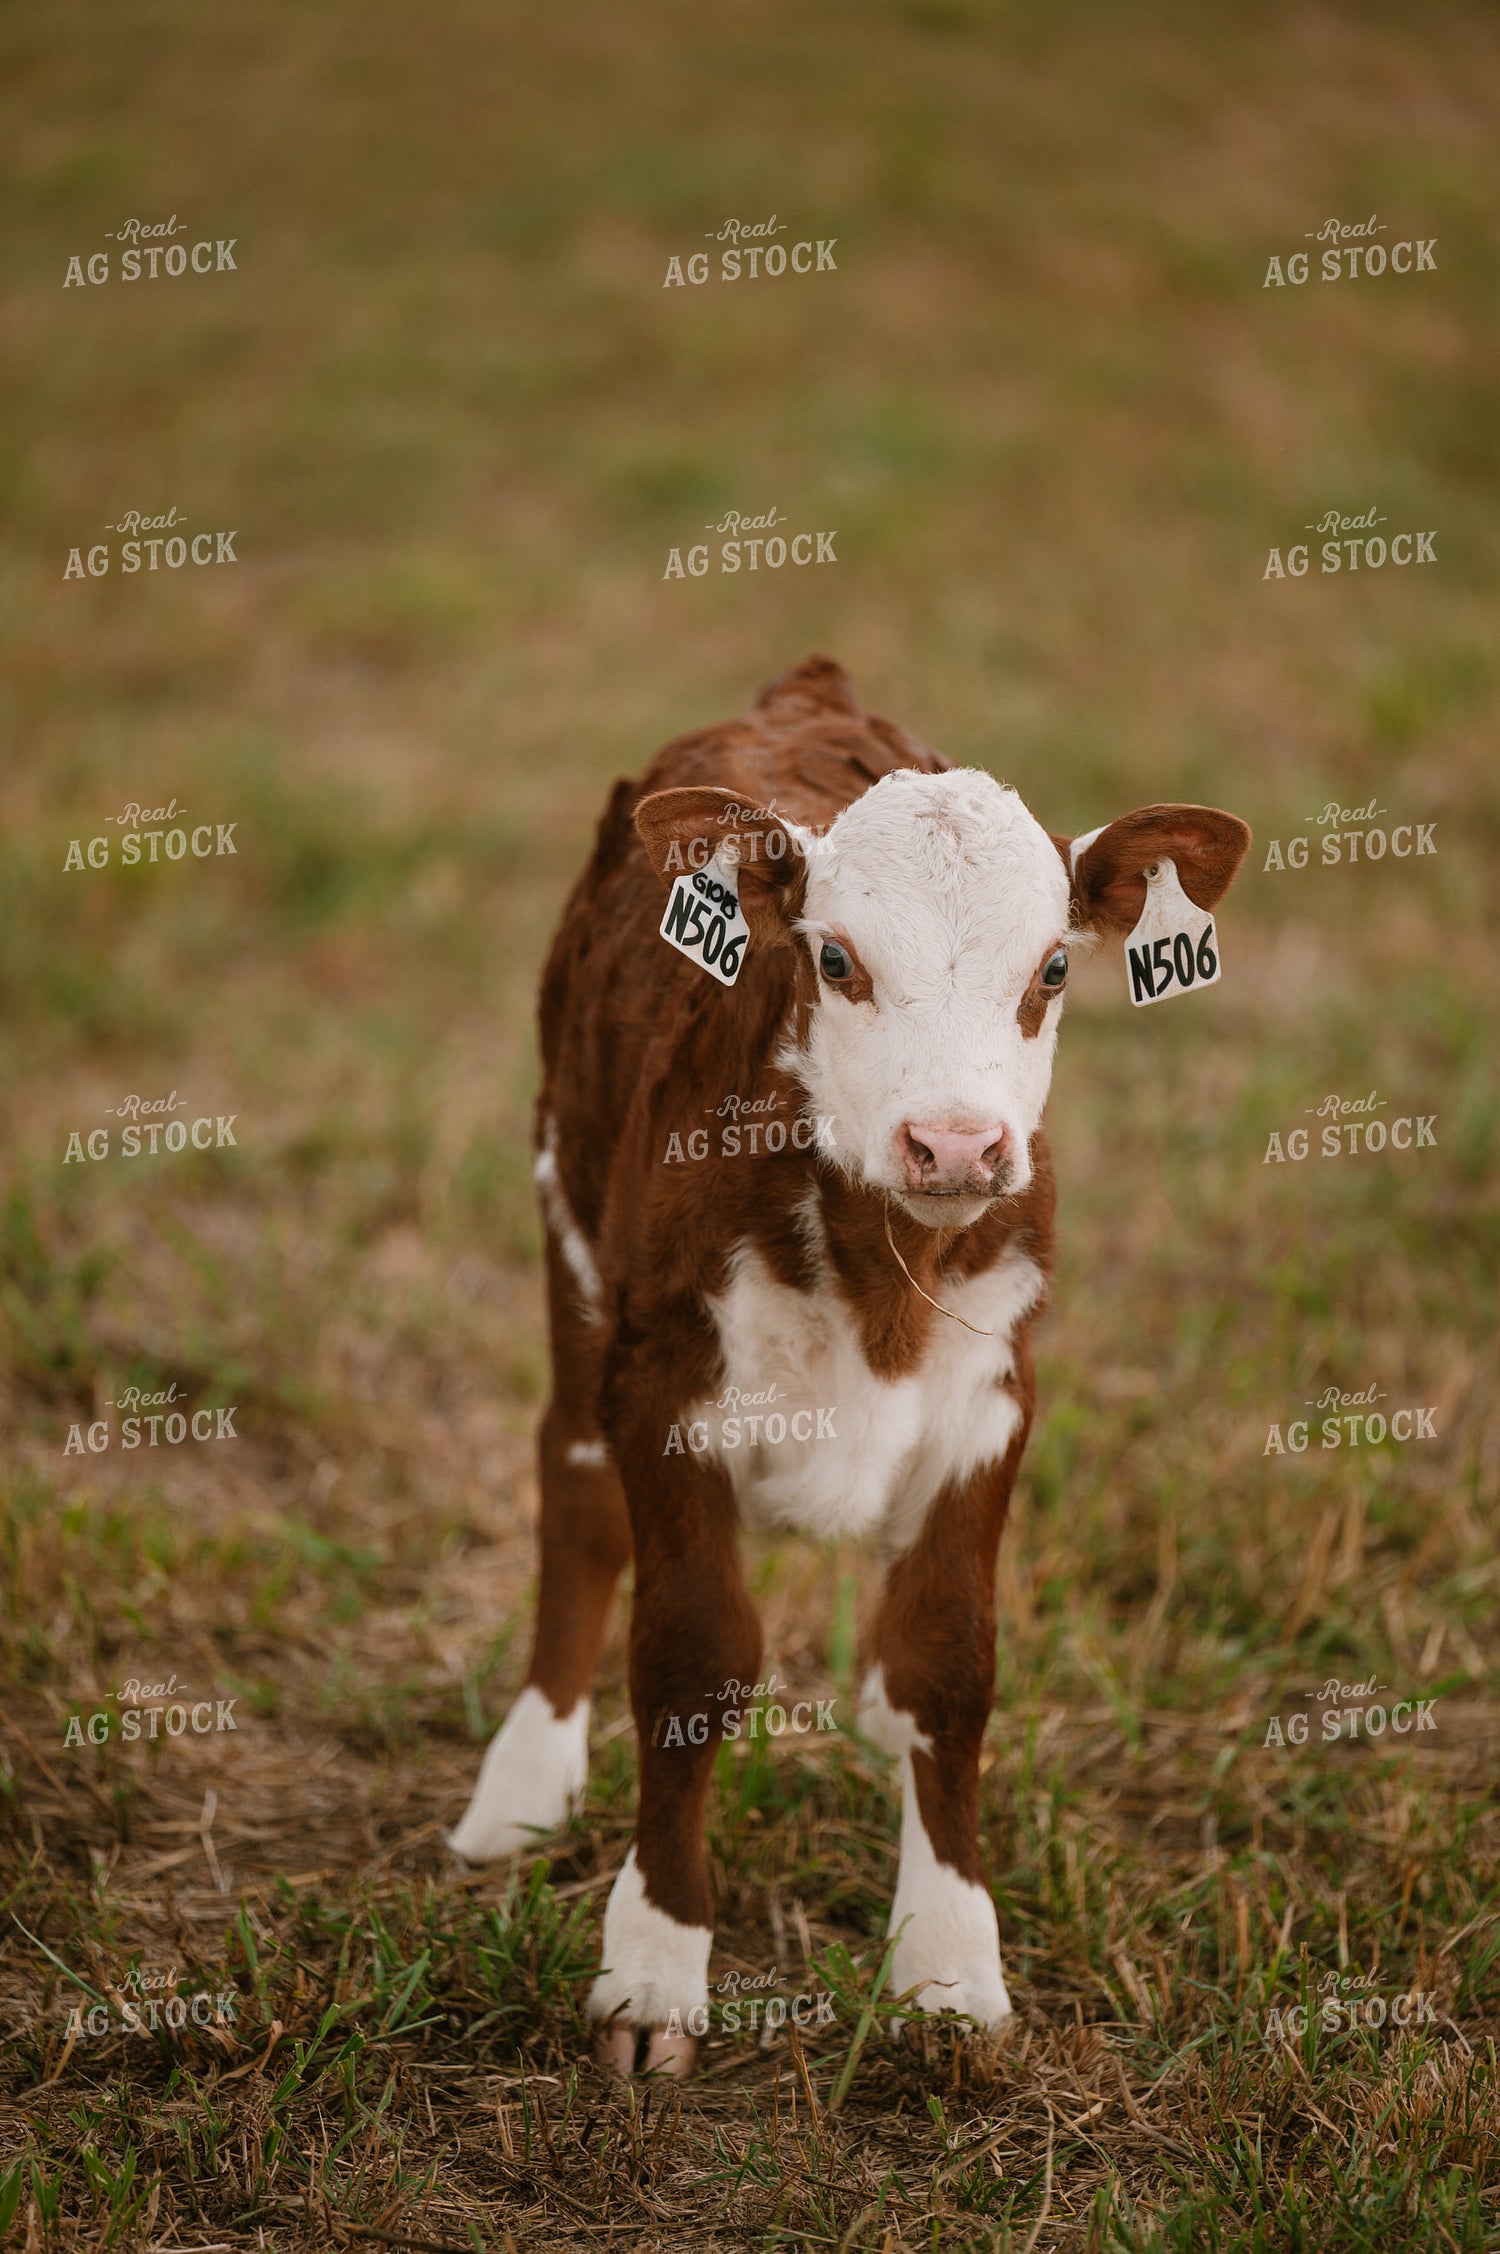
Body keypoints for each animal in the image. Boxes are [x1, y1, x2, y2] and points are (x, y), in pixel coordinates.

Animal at [450, 654, 1250, 2076]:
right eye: (834, 957)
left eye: (1055, 965)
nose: (958, 1143)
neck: (883, 1271)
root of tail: (800, 685)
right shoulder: (663, 1381)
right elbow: (693, 1652)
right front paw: (653, 1970)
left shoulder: (994, 1396)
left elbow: (949, 1656)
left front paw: (948, 1967)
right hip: (563, 1208)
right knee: (573, 1482)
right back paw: (522, 1784)